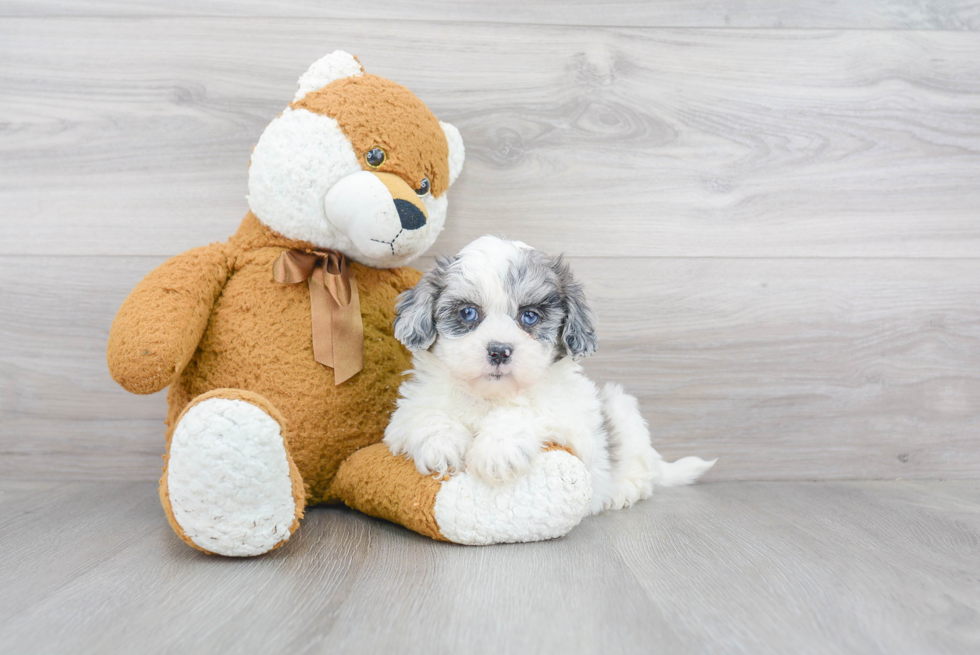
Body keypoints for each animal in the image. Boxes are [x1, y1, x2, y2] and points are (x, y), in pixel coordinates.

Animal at [380, 237, 712, 516]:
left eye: (530, 317)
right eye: (467, 313)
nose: (499, 351)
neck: (491, 397)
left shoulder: (575, 422)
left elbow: (527, 412)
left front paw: (498, 447)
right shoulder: (406, 413)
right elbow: (428, 415)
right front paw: (443, 444)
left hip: (622, 409)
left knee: (642, 469)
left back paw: (624, 490)